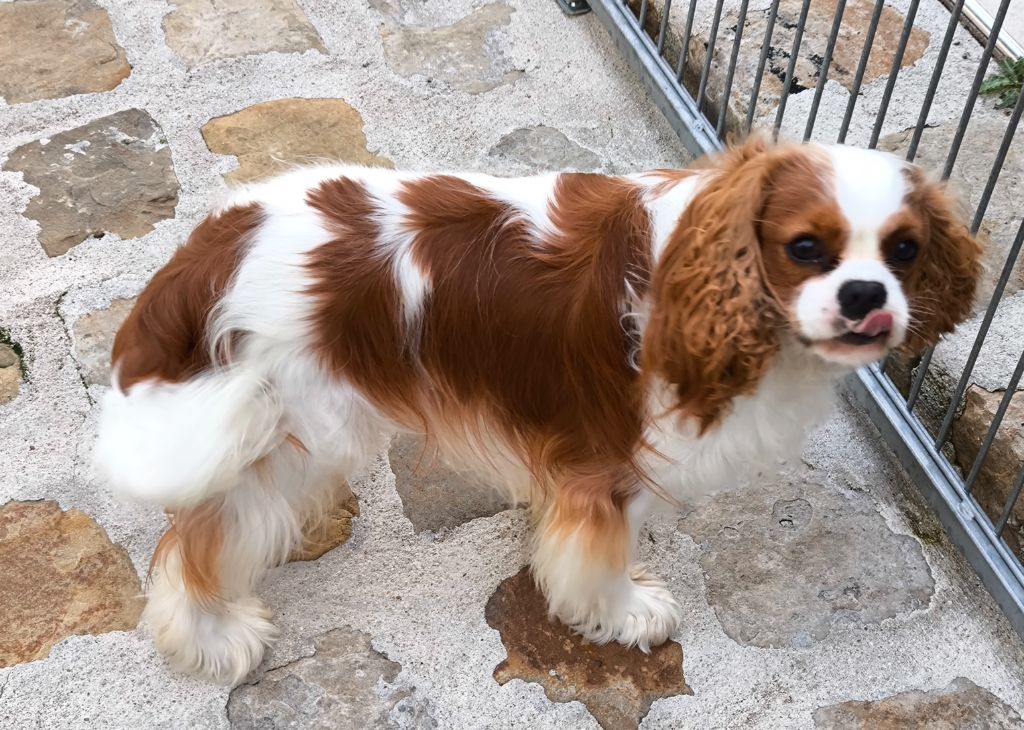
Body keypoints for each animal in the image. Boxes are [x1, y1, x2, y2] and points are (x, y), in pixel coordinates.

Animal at [94, 137, 983, 683]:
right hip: (298, 423)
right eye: (805, 248)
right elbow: (600, 555)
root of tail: (217, 240)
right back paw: (209, 636)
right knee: (199, 537)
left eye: (904, 251)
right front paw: (623, 611)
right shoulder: (611, 459)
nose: (866, 296)